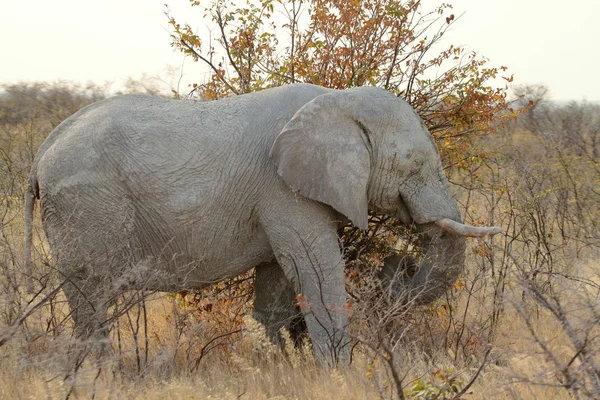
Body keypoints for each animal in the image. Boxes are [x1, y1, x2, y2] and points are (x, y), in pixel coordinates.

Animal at [24, 83, 502, 362]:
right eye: (414, 164)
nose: (397, 266)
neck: (338, 99)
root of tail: (43, 149)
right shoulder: (284, 187)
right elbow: (316, 271)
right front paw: (338, 375)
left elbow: (276, 284)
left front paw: (275, 366)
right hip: (86, 206)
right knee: (92, 296)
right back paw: (99, 375)